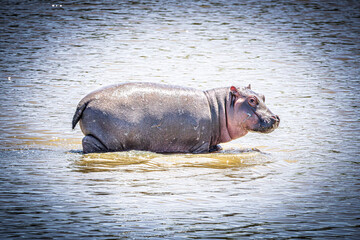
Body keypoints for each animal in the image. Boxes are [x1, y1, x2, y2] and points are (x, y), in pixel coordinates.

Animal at [71, 82, 280, 154]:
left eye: (263, 96)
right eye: (252, 100)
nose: (276, 117)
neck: (219, 108)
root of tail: (85, 100)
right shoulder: (199, 145)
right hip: (105, 139)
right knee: (87, 142)